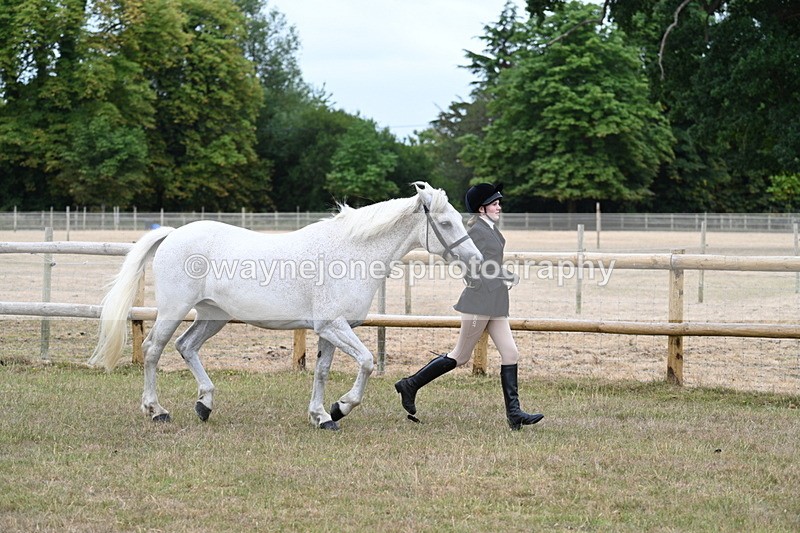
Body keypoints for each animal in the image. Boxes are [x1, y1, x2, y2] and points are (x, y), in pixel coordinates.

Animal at [88, 182, 482, 430]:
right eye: (445, 222)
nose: (476, 260)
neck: (350, 254)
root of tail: (172, 234)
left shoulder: (330, 331)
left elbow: (322, 371)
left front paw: (323, 416)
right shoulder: (334, 326)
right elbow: (368, 362)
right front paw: (341, 407)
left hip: (214, 315)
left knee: (186, 347)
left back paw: (204, 404)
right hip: (175, 309)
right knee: (153, 349)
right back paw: (156, 411)